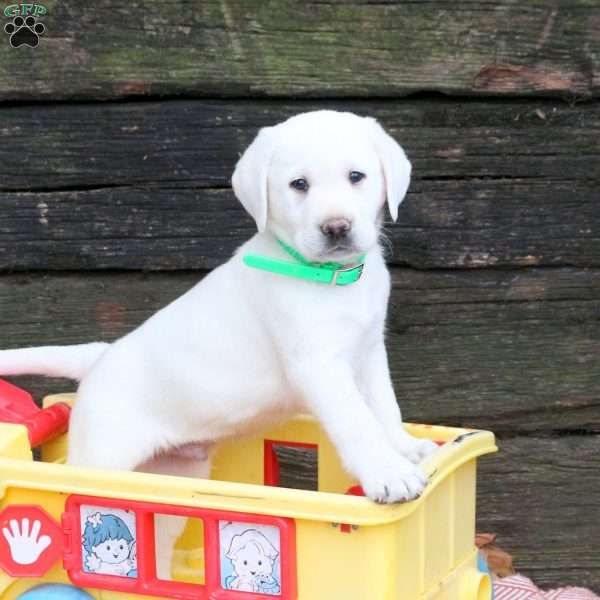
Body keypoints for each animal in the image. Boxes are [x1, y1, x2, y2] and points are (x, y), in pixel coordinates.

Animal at [0, 110, 436, 504]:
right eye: (299, 184)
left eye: (356, 177)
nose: (336, 228)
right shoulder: (318, 365)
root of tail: (100, 356)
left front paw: (405, 448)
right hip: (102, 457)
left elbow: (384, 406)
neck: (329, 279)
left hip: (172, 476)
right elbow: (357, 420)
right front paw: (387, 472)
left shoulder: (369, 351)